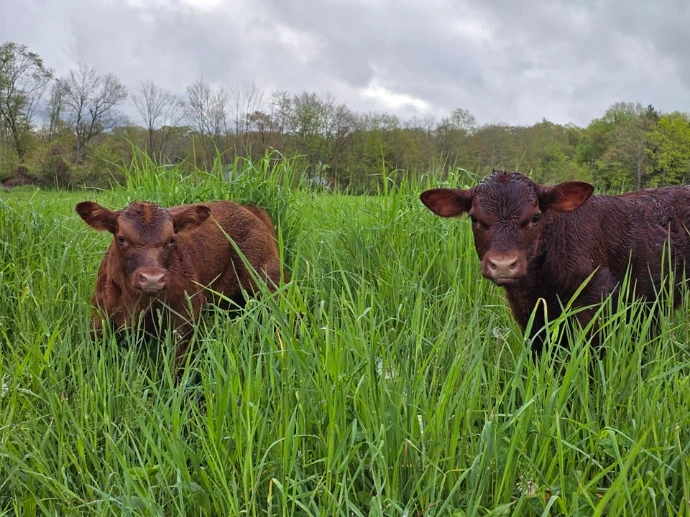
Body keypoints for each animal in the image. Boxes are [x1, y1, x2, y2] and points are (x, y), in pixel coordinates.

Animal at [76, 199, 286, 361]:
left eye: (171, 239)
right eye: (121, 238)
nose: (152, 279)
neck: (137, 303)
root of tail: (250, 209)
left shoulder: (185, 321)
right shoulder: (99, 319)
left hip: (268, 284)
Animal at [420, 170, 690, 353]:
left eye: (536, 217)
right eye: (474, 218)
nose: (503, 264)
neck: (542, 283)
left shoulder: (596, 304)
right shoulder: (528, 313)